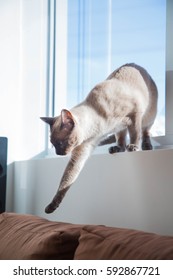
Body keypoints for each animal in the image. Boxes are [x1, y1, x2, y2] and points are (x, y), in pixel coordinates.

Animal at [41, 63, 157, 212]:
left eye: (60, 143)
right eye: (53, 144)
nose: (58, 153)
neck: (99, 130)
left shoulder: (134, 115)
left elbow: (135, 134)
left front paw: (134, 146)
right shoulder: (82, 152)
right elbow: (66, 181)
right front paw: (51, 206)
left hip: (148, 116)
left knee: (145, 131)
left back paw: (145, 146)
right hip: (120, 129)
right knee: (121, 139)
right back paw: (116, 148)